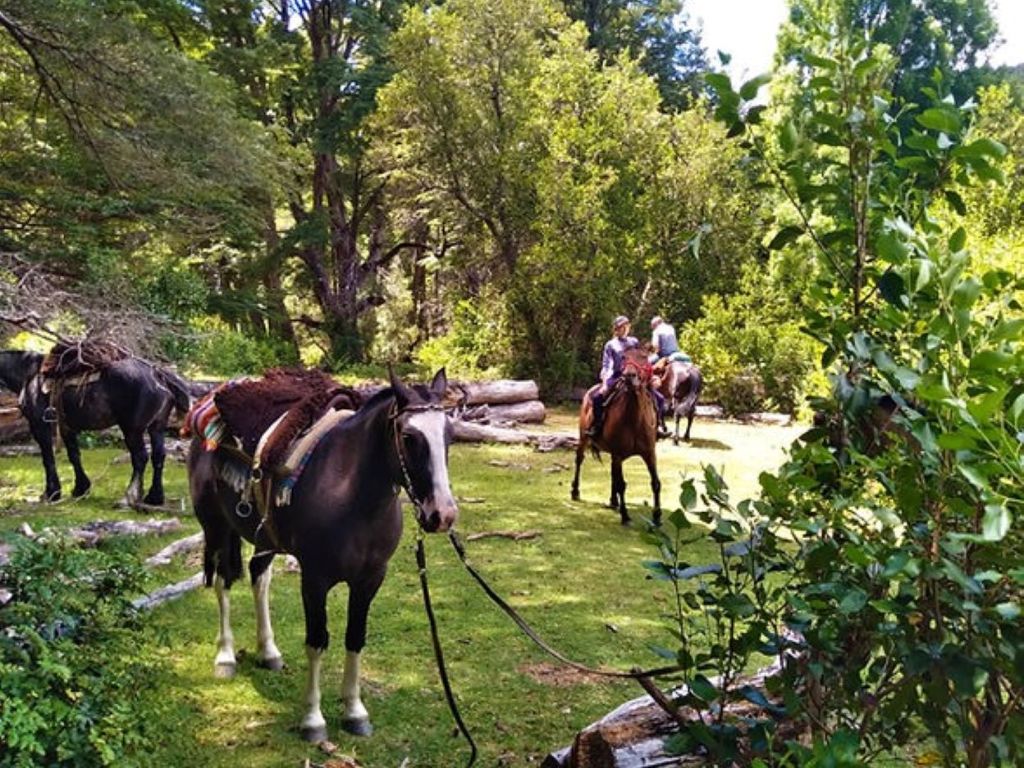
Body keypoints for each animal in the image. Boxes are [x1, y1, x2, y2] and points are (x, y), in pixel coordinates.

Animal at [0, 349, 191, 505]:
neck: (28, 374)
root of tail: (157, 375)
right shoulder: (66, 427)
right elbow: (74, 456)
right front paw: (80, 489)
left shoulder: (39, 425)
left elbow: (48, 458)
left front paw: (52, 493)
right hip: (156, 428)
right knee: (158, 456)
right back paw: (154, 497)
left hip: (132, 430)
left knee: (140, 458)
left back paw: (129, 497)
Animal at [186, 368, 459, 742]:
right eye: (409, 436)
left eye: (449, 435)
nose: (442, 514)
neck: (353, 496)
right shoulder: (314, 579)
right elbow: (317, 641)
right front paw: (313, 720)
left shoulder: (370, 579)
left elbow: (355, 638)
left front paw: (355, 712)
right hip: (216, 527)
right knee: (223, 581)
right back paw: (225, 656)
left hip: (263, 537)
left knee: (259, 576)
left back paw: (268, 652)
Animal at [571, 349, 661, 526]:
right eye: (624, 357)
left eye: (643, 357)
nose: (629, 376)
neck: (634, 419)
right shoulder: (618, 454)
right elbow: (621, 485)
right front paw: (625, 516)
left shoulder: (649, 453)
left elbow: (655, 483)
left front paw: (657, 516)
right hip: (584, 438)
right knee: (579, 459)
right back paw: (575, 491)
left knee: (613, 473)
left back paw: (613, 501)